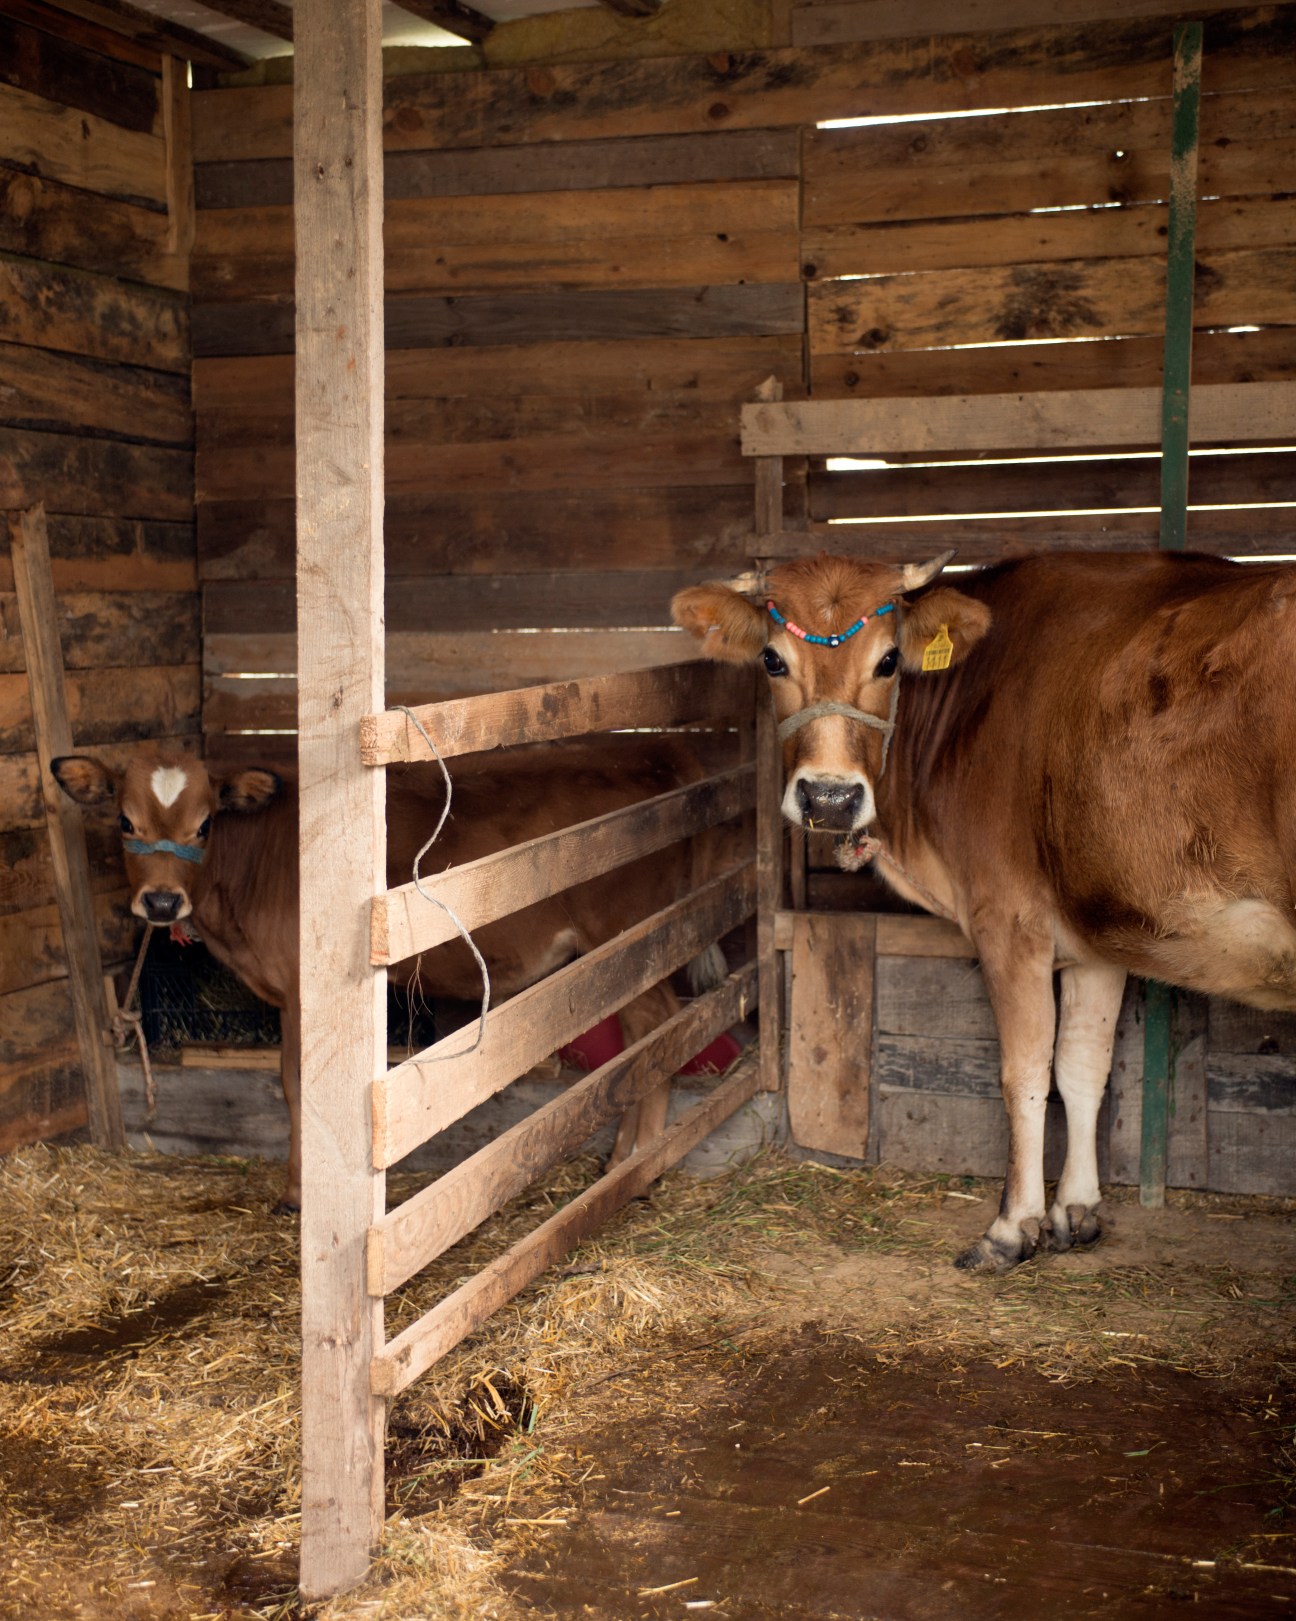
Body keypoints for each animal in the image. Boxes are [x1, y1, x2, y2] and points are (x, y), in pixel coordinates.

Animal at [51, 736, 727, 1211]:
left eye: (206, 823)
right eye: (124, 821)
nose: (163, 902)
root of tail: (656, 749)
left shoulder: (304, 992)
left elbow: (296, 1085)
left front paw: (298, 1194)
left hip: (632, 936)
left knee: (660, 1024)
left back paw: (638, 1166)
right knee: (647, 1034)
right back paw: (622, 1159)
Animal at [673, 549, 1296, 1271]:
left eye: (890, 660)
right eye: (772, 659)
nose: (829, 798)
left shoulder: (1009, 919)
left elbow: (1022, 1072)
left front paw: (1010, 1227)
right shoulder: (1096, 930)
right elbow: (1082, 1067)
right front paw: (1075, 1211)